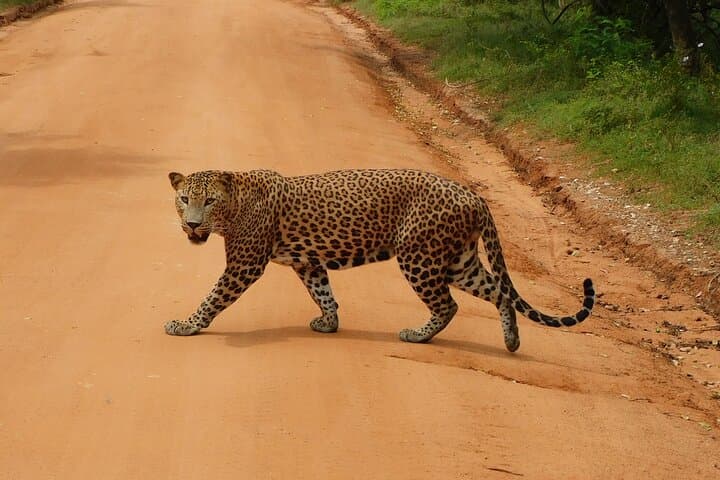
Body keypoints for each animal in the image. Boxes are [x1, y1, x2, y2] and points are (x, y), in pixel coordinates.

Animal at [165, 168, 595, 352]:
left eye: (209, 201)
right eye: (185, 199)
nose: (192, 224)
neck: (235, 202)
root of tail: (474, 195)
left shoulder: (245, 264)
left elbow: (213, 297)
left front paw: (186, 325)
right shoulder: (308, 262)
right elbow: (323, 291)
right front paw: (329, 322)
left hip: (420, 256)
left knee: (448, 304)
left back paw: (418, 335)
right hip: (459, 261)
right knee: (499, 292)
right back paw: (511, 340)